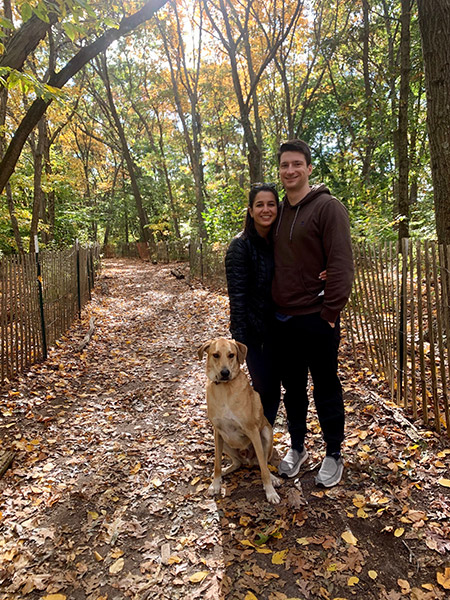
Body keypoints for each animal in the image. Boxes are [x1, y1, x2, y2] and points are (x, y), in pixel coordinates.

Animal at [198, 338, 280, 502]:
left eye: (231, 355)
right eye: (216, 355)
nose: (225, 373)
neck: (224, 389)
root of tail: (248, 460)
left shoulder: (253, 431)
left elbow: (263, 468)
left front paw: (270, 492)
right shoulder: (217, 432)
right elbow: (216, 463)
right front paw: (215, 484)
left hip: (266, 434)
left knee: (263, 463)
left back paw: (273, 478)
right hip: (225, 442)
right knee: (237, 463)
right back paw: (225, 470)